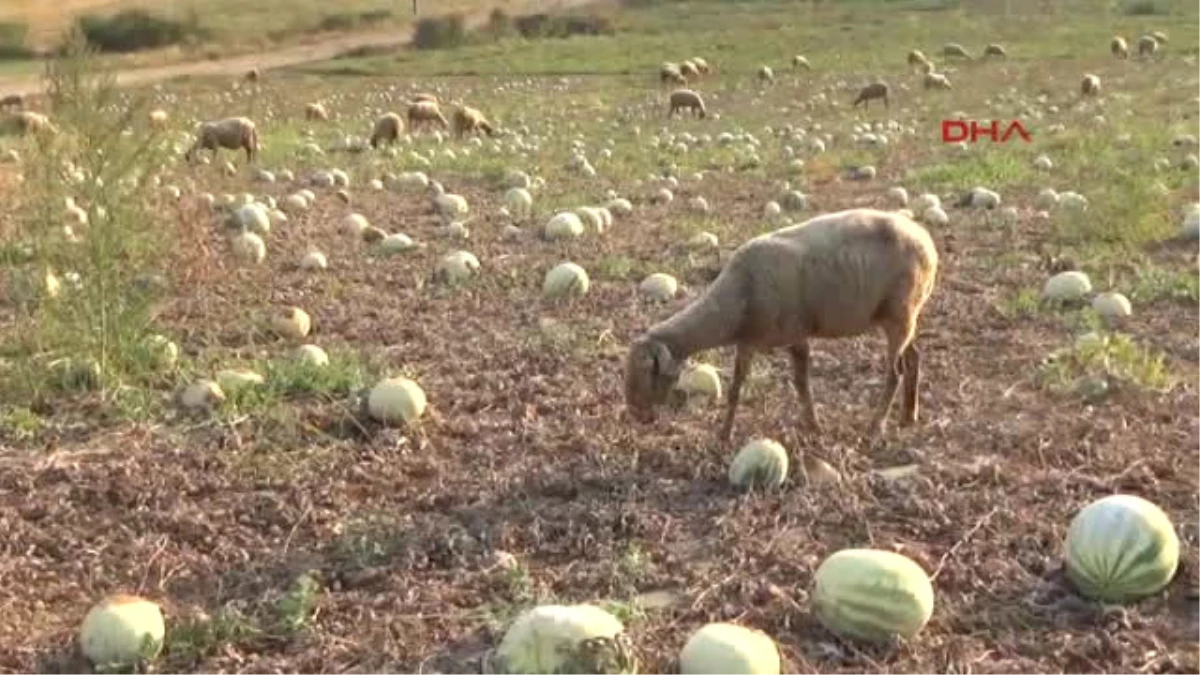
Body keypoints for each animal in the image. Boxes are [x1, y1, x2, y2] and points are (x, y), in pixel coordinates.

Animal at [624, 207, 940, 444]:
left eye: (646, 370)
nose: (636, 415)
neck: (737, 299)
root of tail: (925, 238)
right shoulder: (747, 343)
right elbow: (735, 389)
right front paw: (724, 435)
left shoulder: (796, 335)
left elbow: (801, 384)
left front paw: (813, 427)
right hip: (906, 316)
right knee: (914, 357)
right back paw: (908, 416)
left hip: (899, 314)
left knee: (894, 373)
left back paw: (875, 427)